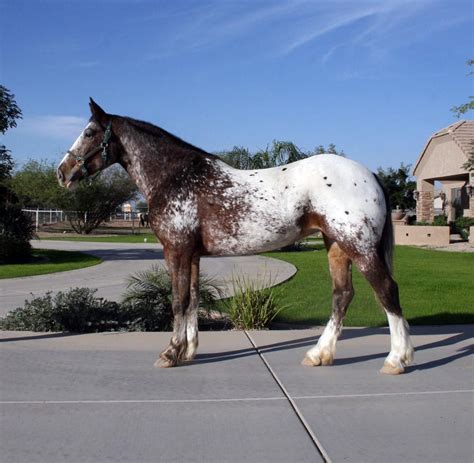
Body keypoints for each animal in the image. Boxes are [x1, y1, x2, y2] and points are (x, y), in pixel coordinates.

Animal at [58, 99, 414, 376]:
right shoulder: (192, 254)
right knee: (342, 295)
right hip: (337, 246)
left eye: (89, 132)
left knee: (387, 291)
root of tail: (368, 174)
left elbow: (178, 301)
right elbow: (193, 299)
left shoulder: (176, 250)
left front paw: (170, 353)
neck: (175, 177)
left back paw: (396, 360)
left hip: (360, 246)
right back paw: (318, 355)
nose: (62, 173)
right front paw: (189, 351)